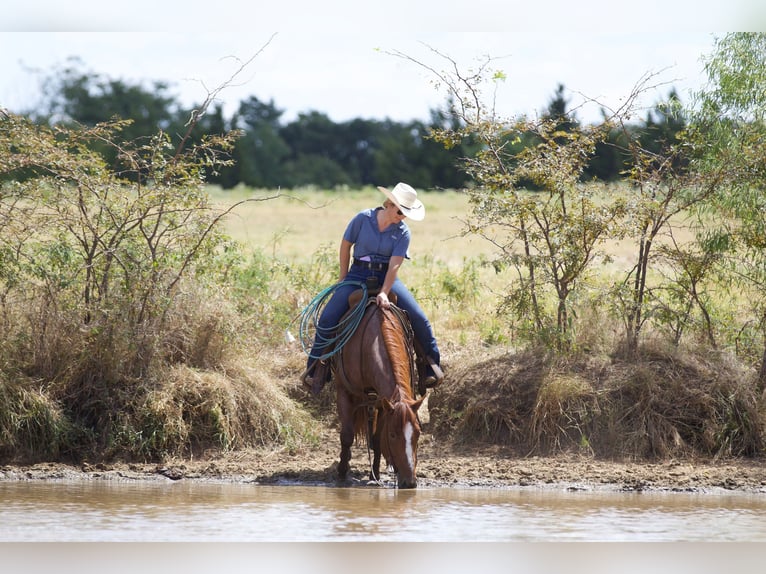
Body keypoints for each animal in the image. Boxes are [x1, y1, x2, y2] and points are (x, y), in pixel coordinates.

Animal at [332, 296, 426, 490]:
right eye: (392, 435)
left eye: (418, 433)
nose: (410, 483)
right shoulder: (343, 391)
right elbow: (347, 435)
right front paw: (342, 473)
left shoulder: (383, 402)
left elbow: (376, 439)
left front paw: (374, 474)